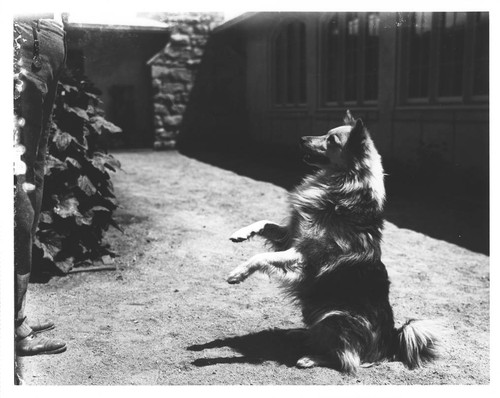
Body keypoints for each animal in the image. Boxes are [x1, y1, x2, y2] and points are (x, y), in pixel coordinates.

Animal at [227, 110, 442, 372]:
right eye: (325, 133)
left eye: (331, 140)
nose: (301, 138)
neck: (338, 186)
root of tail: (390, 342)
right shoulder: (290, 237)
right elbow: (265, 223)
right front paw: (242, 232)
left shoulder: (304, 255)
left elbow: (261, 257)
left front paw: (238, 273)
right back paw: (300, 335)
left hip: (335, 316)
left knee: (349, 359)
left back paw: (311, 357)